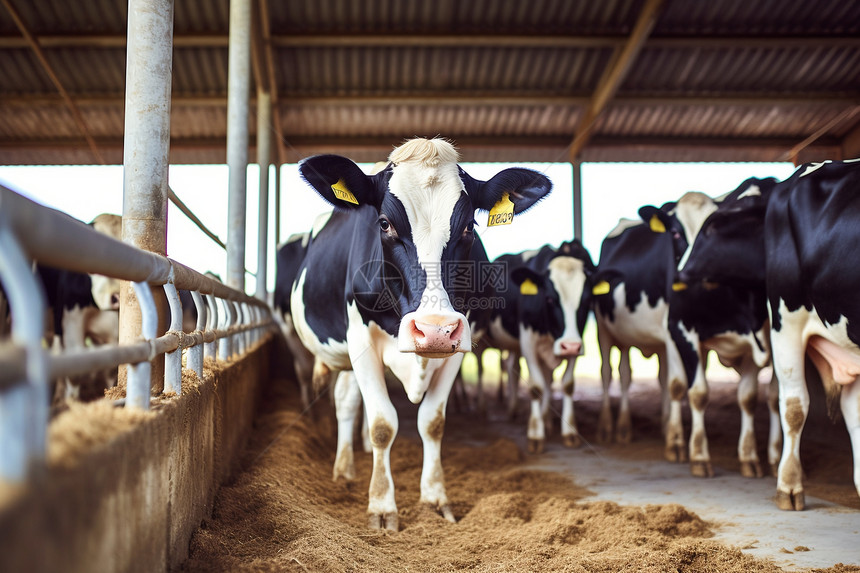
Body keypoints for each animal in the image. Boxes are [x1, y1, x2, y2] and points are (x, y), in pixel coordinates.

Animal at [288, 137, 552, 528]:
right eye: (384, 224)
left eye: (469, 226)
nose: (434, 329)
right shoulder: (360, 337)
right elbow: (382, 424)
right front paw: (381, 507)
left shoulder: (460, 341)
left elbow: (432, 422)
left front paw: (435, 500)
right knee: (347, 403)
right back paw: (345, 469)